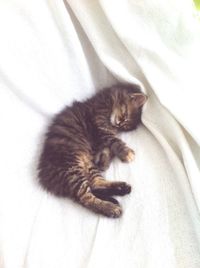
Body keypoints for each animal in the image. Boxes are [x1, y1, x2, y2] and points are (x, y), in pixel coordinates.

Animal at [38, 84, 147, 218]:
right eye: (125, 114)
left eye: (124, 127)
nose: (118, 124)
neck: (107, 102)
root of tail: (45, 177)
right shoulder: (101, 125)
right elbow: (114, 141)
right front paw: (126, 153)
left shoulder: (102, 137)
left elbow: (108, 149)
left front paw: (104, 162)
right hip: (72, 168)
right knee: (87, 197)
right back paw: (112, 208)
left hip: (87, 165)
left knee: (96, 184)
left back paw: (122, 189)